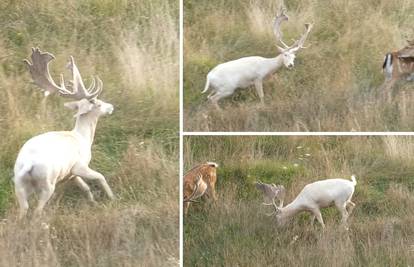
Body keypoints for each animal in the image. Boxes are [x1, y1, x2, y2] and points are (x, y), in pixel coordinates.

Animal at [13, 47, 114, 220]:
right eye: (98, 103)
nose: (111, 107)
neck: (82, 138)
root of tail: (28, 164)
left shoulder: (70, 173)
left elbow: (85, 187)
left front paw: (93, 202)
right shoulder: (80, 165)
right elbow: (100, 176)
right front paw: (112, 197)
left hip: (18, 183)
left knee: (23, 209)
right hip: (47, 183)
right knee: (37, 210)